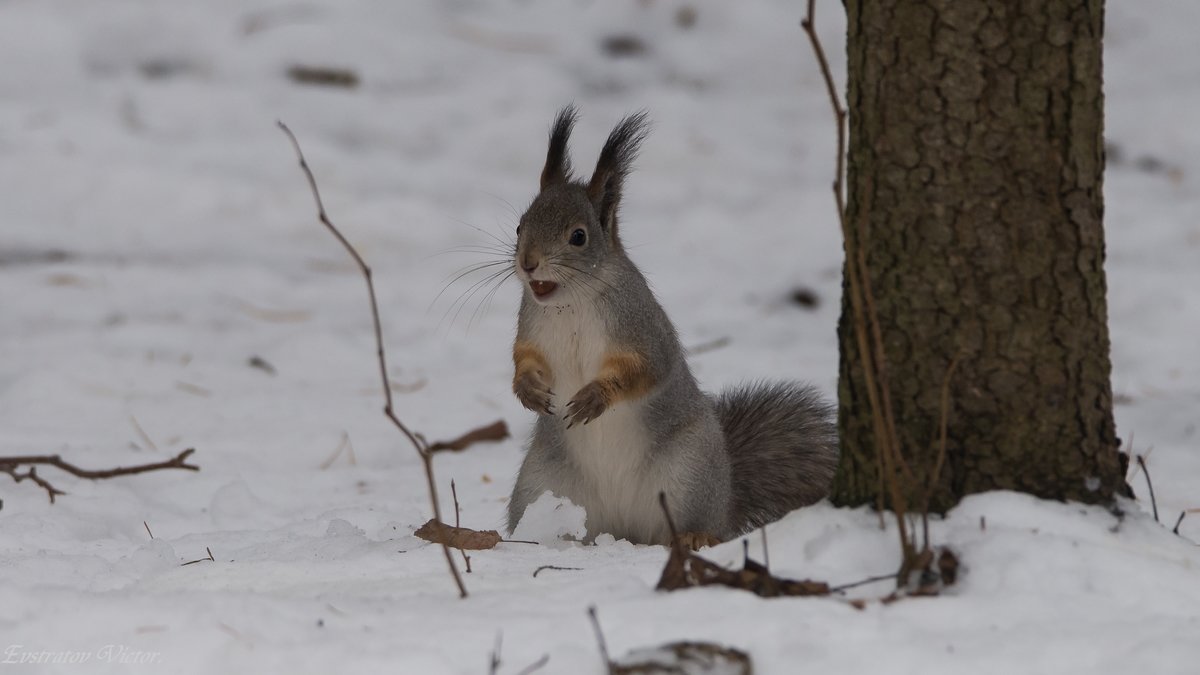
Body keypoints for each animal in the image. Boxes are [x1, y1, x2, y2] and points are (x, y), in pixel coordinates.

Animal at [504, 106, 835, 547]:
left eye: (578, 236)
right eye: (520, 226)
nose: (528, 263)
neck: (569, 303)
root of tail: (625, 528)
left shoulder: (642, 329)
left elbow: (648, 369)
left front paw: (595, 396)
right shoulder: (532, 330)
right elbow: (524, 359)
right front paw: (528, 390)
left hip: (689, 473)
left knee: (697, 522)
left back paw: (694, 537)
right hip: (540, 482)